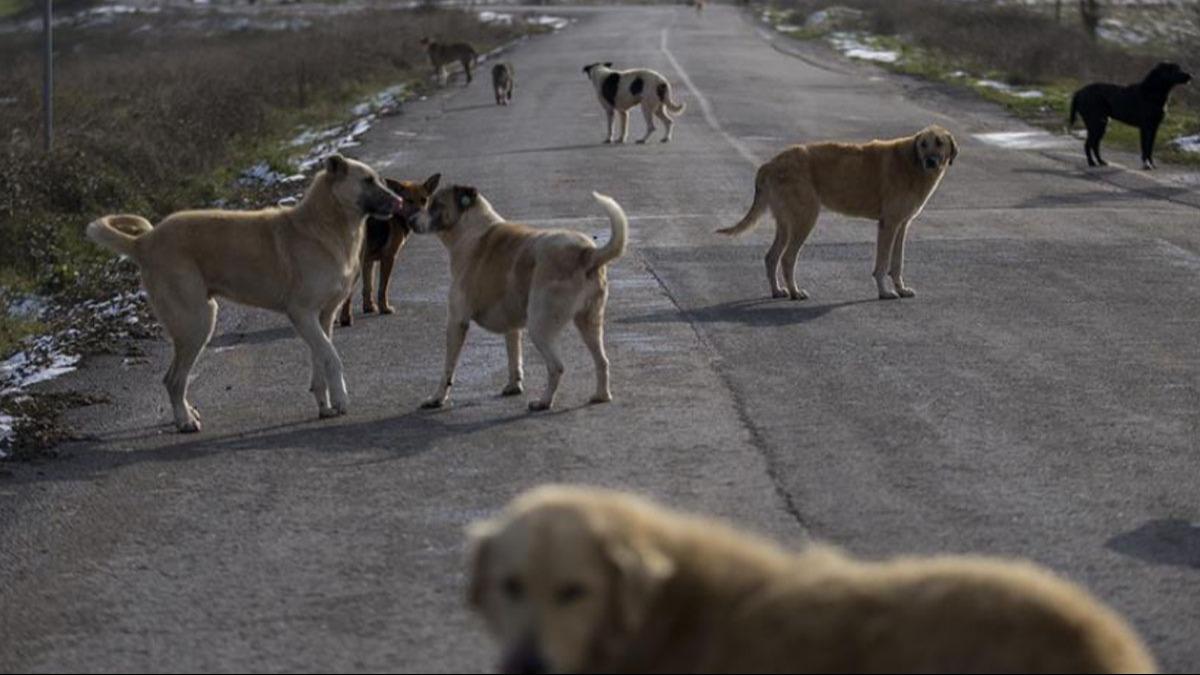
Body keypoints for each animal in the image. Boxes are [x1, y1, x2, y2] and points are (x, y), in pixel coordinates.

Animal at [87, 153, 403, 429]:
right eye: (367, 180)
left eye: (379, 179)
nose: (399, 202)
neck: (325, 224)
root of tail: (144, 242)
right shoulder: (302, 314)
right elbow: (332, 358)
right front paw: (341, 399)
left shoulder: (322, 318)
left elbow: (321, 360)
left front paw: (325, 405)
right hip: (197, 322)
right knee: (173, 379)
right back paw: (185, 421)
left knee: (175, 378)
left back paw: (187, 414)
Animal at [338, 170, 441, 324]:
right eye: (409, 200)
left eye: (424, 200)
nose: (418, 219)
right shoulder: (389, 257)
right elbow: (383, 287)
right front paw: (384, 308)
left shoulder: (368, 262)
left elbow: (368, 287)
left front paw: (369, 307)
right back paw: (345, 319)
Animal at [408, 183, 628, 410]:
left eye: (435, 205)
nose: (410, 221)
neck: (470, 228)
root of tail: (586, 253)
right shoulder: (511, 325)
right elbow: (514, 356)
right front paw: (514, 386)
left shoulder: (456, 322)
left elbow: (448, 368)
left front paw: (437, 398)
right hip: (589, 322)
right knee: (602, 361)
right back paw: (601, 395)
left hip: (539, 326)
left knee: (556, 366)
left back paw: (544, 402)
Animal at [715, 124, 960, 302]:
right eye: (923, 144)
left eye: (939, 143)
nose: (930, 162)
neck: (912, 163)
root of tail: (769, 164)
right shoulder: (888, 224)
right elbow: (882, 264)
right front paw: (884, 292)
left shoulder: (901, 225)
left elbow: (897, 262)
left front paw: (901, 289)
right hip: (805, 219)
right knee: (787, 258)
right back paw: (795, 292)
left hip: (786, 223)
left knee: (771, 256)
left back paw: (778, 291)